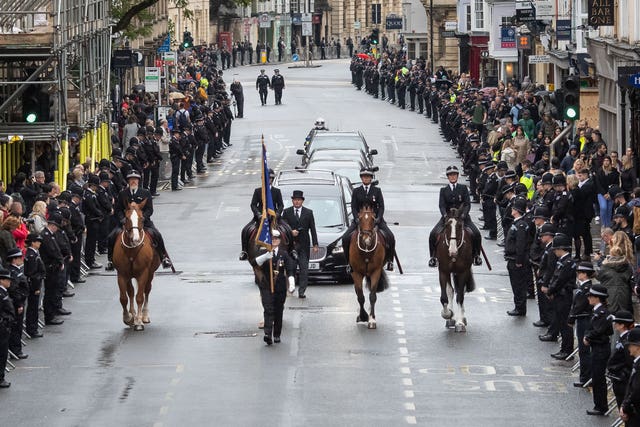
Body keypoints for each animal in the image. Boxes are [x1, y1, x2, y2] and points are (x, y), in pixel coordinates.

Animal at [111, 202, 160, 332]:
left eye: (141, 218)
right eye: (127, 218)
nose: (136, 239)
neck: (132, 250)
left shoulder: (143, 273)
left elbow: (140, 297)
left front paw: (138, 322)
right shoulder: (122, 275)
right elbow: (124, 298)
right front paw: (128, 318)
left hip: (150, 273)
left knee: (146, 291)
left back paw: (144, 316)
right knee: (131, 292)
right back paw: (133, 315)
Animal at [348, 204, 388, 332]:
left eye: (373, 219)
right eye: (359, 219)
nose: (367, 239)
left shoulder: (376, 272)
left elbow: (372, 296)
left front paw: (372, 320)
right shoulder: (356, 273)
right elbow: (360, 296)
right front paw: (363, 316)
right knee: (357, 292)